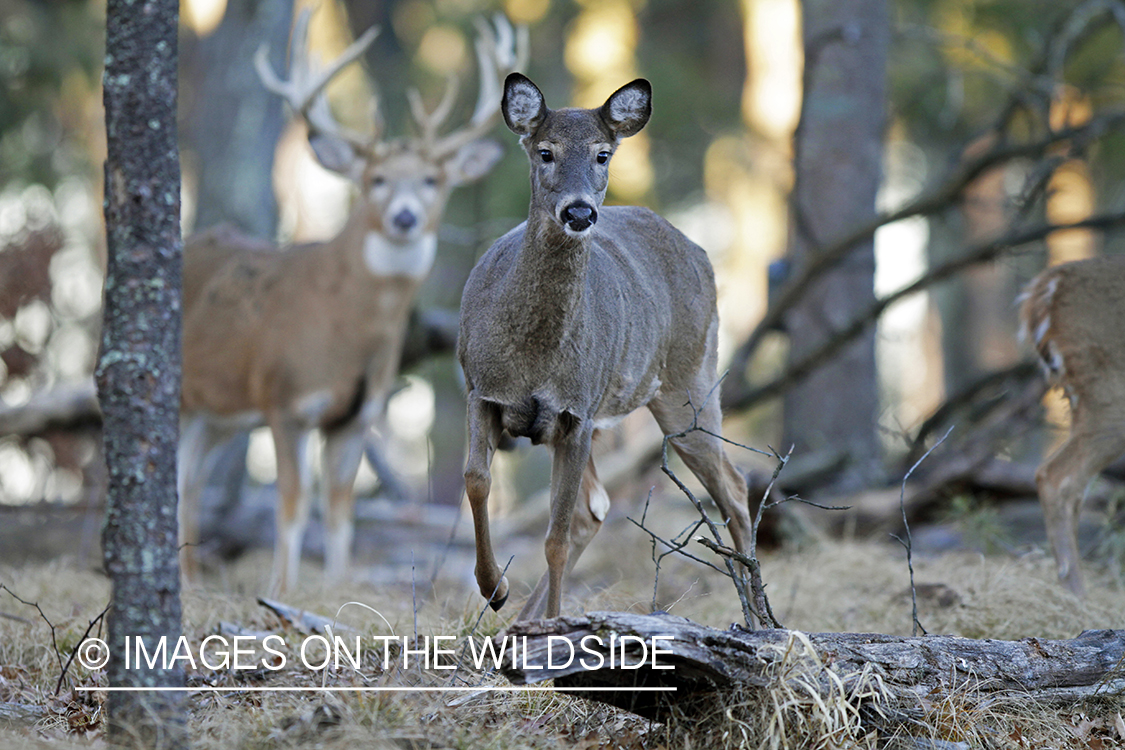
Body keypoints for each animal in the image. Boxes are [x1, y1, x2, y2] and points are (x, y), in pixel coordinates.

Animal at [177, 7, 524, 593]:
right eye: (376, 178)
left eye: (432, 179)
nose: (404, 217)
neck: (343, 331)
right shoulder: (284, 399)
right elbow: (293, 503)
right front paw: (281, 591)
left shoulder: (358, 414)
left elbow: (340, 509)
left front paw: (337, 590)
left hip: (217, 413)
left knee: (190, 477)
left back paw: (191, 578)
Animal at [456, 73, 756, 620]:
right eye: (545, 151)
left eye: (602, 154)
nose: (579, 211)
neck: (534, 357)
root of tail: (698, 248)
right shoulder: (481, 388)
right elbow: (477, 480)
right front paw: (494, 589)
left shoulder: (576, 412)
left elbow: (553, 537)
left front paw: (548, 627)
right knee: (594, 511)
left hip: (689, 383)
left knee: (734, 486)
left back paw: (757, 615)